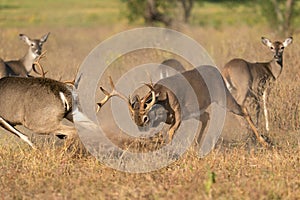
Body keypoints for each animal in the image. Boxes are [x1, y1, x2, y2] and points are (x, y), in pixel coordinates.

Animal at [99, 65, 272, 147]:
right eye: (133, 119)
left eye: (145, 117)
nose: (141, 129)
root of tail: (217, 70)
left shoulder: (179, 112)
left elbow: (170, 133)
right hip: (198, 109)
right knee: (206, 116)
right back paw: (196, 145)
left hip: (223, 96)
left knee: (243, 109)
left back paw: (263, 141)